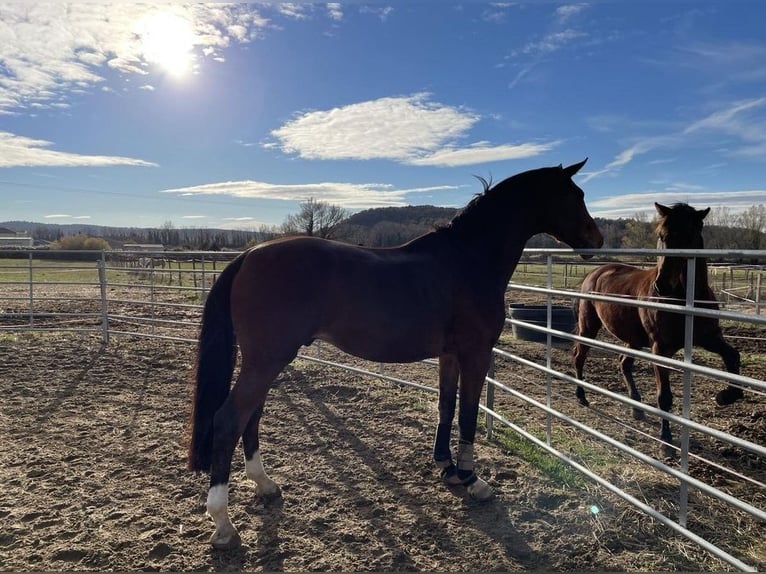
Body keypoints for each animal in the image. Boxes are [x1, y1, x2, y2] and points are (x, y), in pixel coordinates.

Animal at [188, 160, 608, 552]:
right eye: (576, 195)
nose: (597, 239)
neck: (469, 258)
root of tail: (250, 255)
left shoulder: (449, 355)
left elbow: (446, 406)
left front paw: (447, 468)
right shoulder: (475, 354)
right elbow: (468, 414)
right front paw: (472, 479)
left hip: (267, 360)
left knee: (251, 415)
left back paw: (264, 484)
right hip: (267, 359)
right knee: (229, 420)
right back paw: (223, 524)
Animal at [572, 202, 740, 460]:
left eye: (690, 235)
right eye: (662, 236)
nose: (662, 285)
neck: (685, 300)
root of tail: (594, 273)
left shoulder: (710, 338)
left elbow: (732, 357)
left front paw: (726, 396)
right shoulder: (660, 349)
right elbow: (665, 397)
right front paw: (666, 441)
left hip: (632, 339)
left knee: (623, 363)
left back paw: (636, 408)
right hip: (589, 327)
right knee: (580, 357)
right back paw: (582, 396)